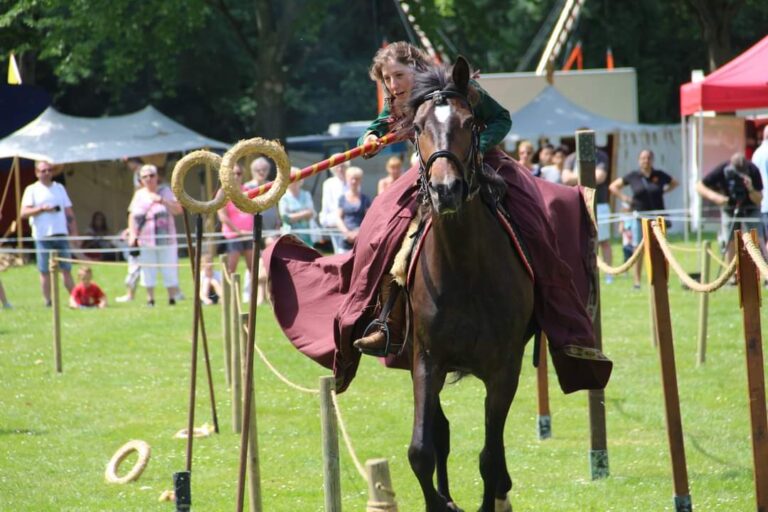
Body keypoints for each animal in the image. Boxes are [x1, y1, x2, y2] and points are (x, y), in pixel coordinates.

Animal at [408, 57, 536, 512]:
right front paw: (439, 502)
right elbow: (421, 450)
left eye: (469, 123)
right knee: (440, 433)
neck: (463, 270)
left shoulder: (504, 371)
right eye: (418, 127)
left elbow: (489, 456)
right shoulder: (425, 360)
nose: (446, 190)